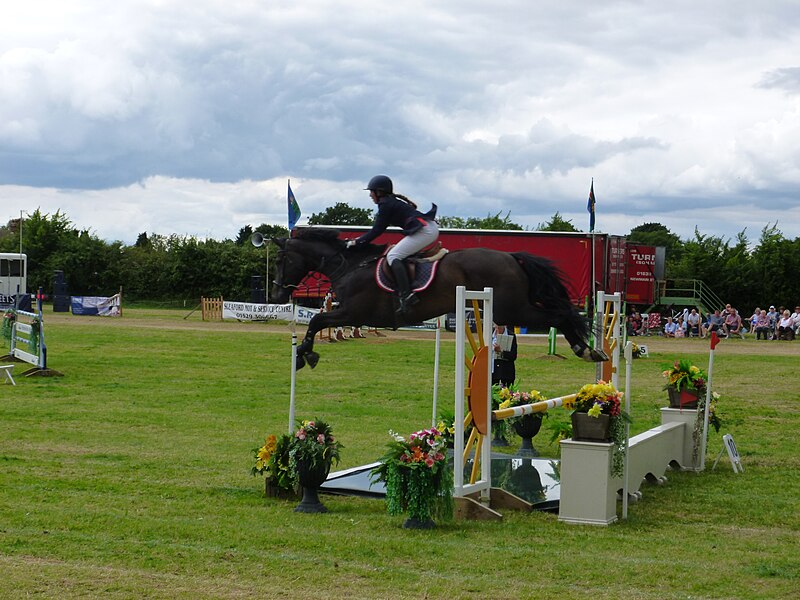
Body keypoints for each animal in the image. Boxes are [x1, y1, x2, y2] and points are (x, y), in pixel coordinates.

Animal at [274, 229, 608, 370]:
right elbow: (318, 320)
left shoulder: (353, 312)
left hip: (513, 309)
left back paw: (585, 350)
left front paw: (304, 354)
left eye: (281, 260)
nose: (277, 293)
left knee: (558, 316)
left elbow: (317, 320)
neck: (350, 264)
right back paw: (591, 350)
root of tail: (512, 257)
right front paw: (305, 352)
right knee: (560, 314)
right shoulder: (350, 313)